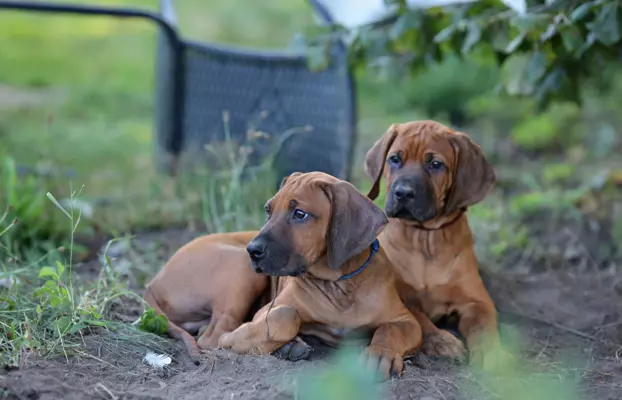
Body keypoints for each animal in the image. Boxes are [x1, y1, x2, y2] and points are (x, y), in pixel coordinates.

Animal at [217, 173, 426, 382]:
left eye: (300, 214)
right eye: (268, 210)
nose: (252, 250)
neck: (339, 285)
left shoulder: (407, 321)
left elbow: (390, 329)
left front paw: (380, 354)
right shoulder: (265, 312)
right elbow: (287, 314)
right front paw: (234, 338)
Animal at [366, 120, 512, 370]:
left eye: (435, 164)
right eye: (394, 159)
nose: (403, 193)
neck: (426, 239)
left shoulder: (477, 301)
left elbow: (484, 329)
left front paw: (492, 354)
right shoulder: (402, 298)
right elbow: (421, 320)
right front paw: (443, 341)